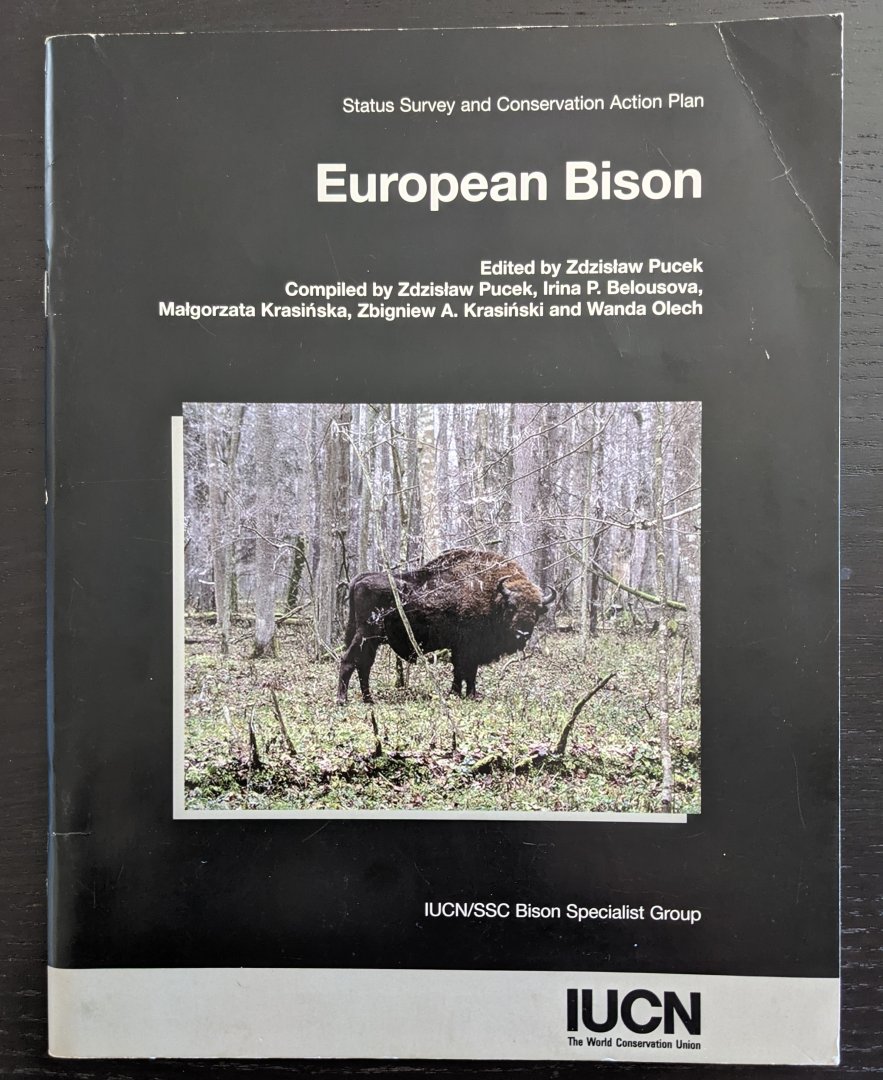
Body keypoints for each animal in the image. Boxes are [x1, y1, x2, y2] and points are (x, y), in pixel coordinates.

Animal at [336, 547, 556, 704]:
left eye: (538, 610)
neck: (493, 595)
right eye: (512, 606)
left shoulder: (462, 649)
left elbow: (464, 672)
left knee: (364, 665)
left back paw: (369, 700)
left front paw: (463, 693)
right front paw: (464, 694)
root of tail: (360, 579)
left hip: (371, 640)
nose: (522, 633)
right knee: (349, 660)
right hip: (367, 634)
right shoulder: (467, 648)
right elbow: (465, 670)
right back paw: (342, 700)